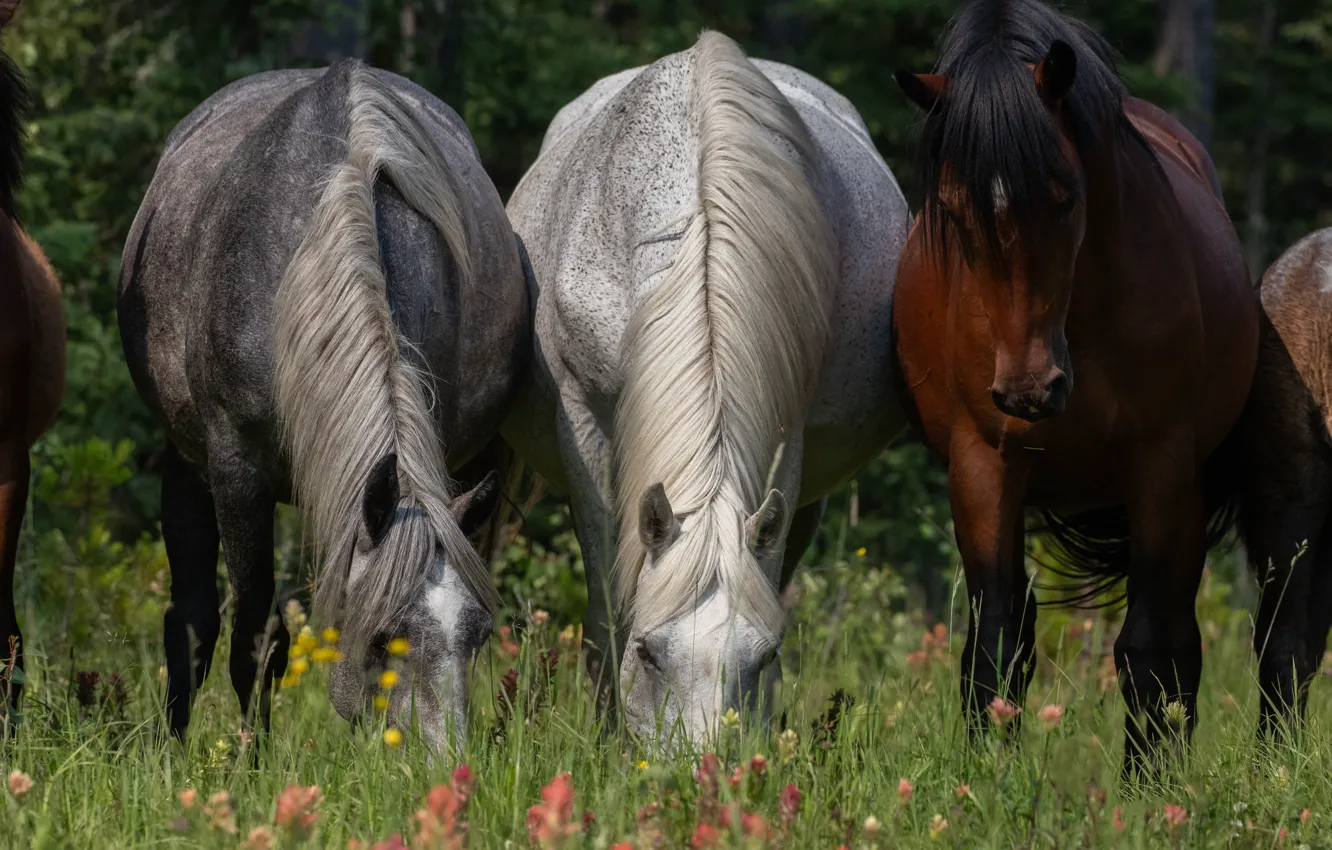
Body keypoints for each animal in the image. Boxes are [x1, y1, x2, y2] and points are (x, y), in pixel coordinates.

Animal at [118, 59, 529, 749]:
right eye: (385, 635)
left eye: (475, 636)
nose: (447, 761)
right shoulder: (237, 471)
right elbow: (255, 640)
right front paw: (249, 765)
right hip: (187, 465)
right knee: (192, 620)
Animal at [504, 30, 910, 744]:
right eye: (649, 653)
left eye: (763, 657)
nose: (705, 765)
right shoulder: (585, 432)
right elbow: (608, 600)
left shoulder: (787, 448)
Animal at [892, 0, 1256, 772]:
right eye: (954, 211)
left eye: (1063, 197)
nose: (1030, 389)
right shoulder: (983, 466)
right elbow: (996, 643)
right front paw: (985, 776)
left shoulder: (1162, 468)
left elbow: (1148, 645)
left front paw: (1149, 782)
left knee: (1177, 635)